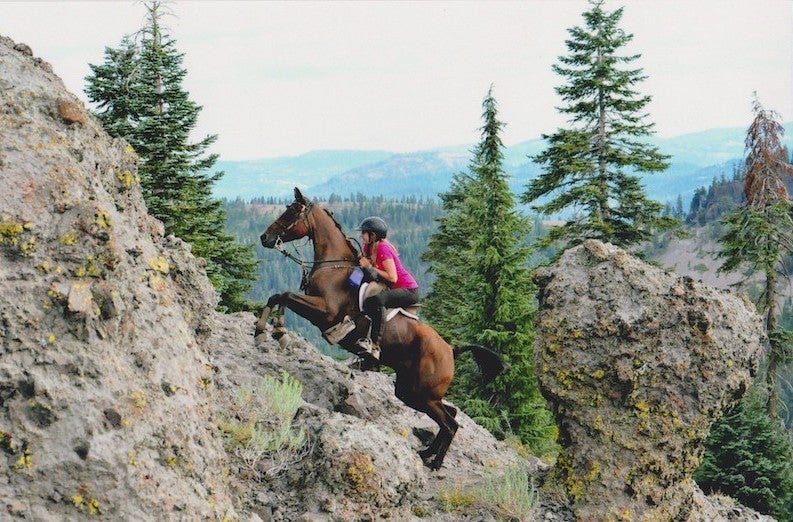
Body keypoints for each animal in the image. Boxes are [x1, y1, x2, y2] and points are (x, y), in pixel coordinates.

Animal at [255, 186, 502, 468]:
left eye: (292, 212)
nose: (264, 237)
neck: (333, 266)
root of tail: (451, 350)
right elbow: (276, 296)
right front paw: (261, 331)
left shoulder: (325, 312)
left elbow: (284, 296)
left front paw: (278, 332)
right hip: (412, 392)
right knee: (451, 414)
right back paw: (426, 453)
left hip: (423, 394)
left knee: (450, 424)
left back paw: (434, 463)